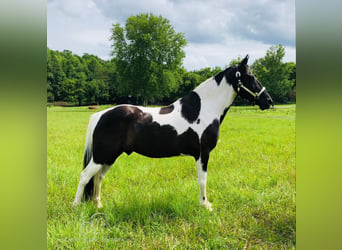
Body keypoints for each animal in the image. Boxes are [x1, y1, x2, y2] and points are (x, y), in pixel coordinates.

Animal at [73, 55, 274, 211]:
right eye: (250, 76)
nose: (269, 101)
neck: (202, 109)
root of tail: (100, 114)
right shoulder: (203, 154)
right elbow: (203, 180)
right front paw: (205, 205)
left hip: (108, 157)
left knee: (98, 178)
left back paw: (98, 205)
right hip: (102, 156)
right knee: (85, 176)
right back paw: (76, 206)